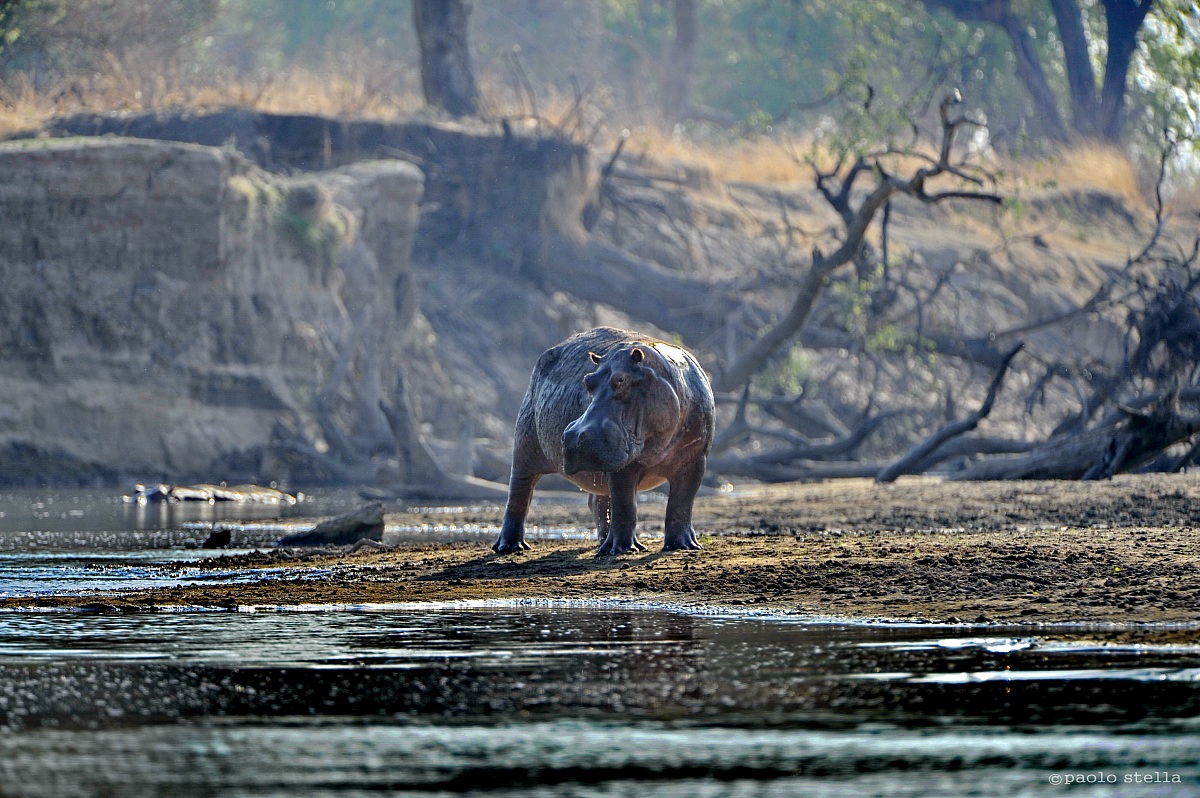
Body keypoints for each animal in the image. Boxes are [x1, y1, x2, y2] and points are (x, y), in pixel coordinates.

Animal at [492, 327, 715, 555]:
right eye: (587, 381)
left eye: (621, 380)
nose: (575, 436)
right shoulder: (624, 465)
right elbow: (625, 504)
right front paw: (623, 549)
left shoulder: (696, 459)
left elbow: (682, 502)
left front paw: (683, 546)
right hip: (525, 445)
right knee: (519, 492)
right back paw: (509, 547)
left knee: (599, 501)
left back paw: (602, 543)